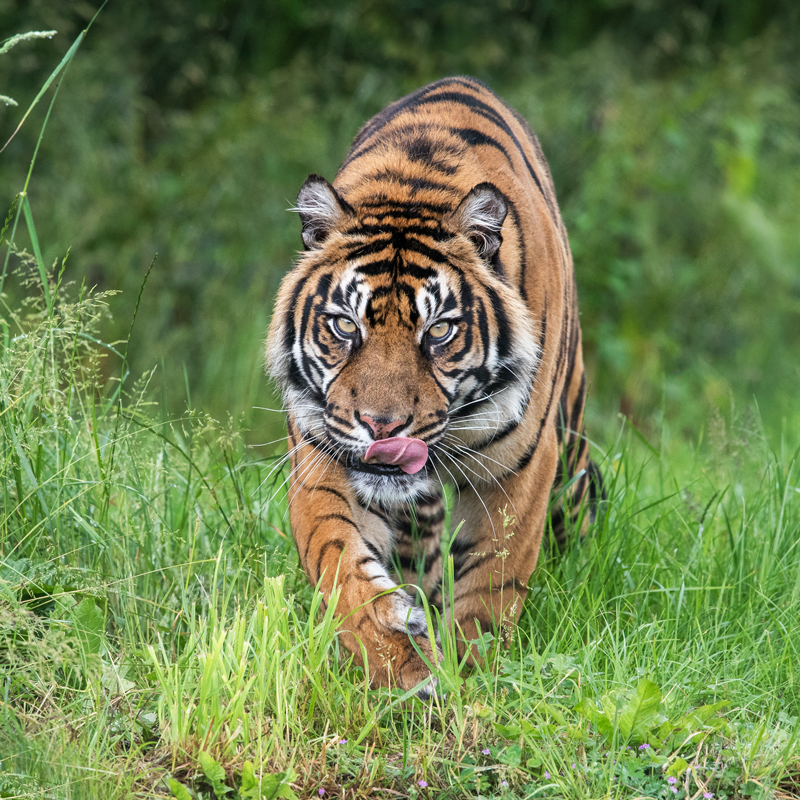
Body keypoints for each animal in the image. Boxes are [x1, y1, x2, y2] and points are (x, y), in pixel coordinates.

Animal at [266, 78, 604, 696]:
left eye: (439, 330)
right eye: (345, 326)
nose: (382, 426)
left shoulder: (521, 468)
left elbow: (492, 583)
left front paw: (472, 678)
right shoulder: (319, 449)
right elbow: (336, 555)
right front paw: (397, 656)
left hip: (569, 454)